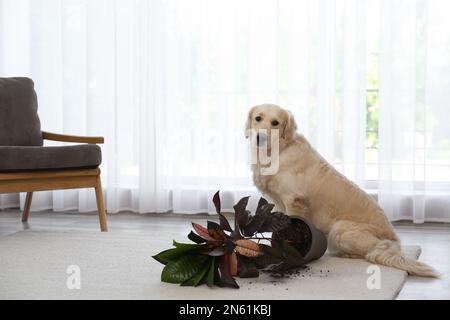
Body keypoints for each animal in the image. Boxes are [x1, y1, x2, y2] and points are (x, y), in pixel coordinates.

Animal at [246, 104, 440, 276]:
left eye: (275, 122)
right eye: (258, 118)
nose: (260, 137)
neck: (278, 150)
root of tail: (395, 242)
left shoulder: (294, 201)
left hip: (339, 229)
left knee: (369, 253)